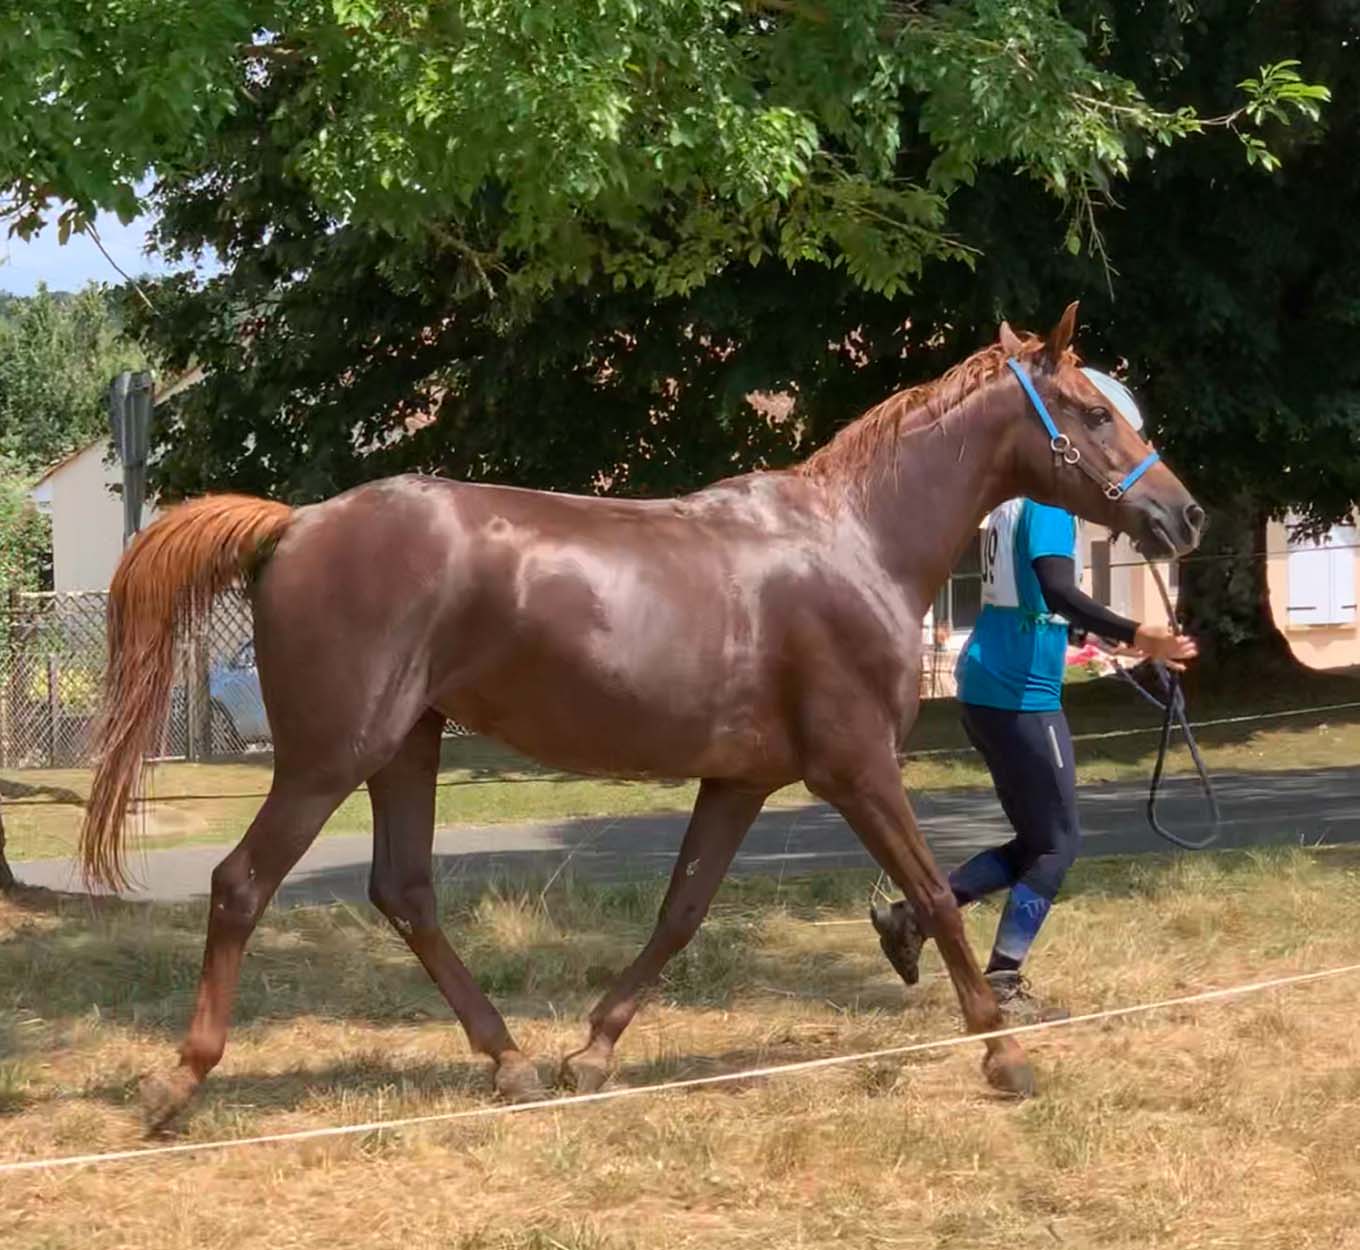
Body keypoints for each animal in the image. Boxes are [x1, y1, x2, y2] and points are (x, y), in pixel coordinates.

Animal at [81, 303, 1204, 1129]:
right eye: (1090, 411)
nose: (1182, 515)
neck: (854, 542)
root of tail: (295, 523)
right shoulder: (855, 768)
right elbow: (931, 894)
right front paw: (1003, 1054)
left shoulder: (741, 780)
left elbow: (682, 910)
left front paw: (592, 1050)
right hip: (328, 757)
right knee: (242, 885)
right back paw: (177, 1082)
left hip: (407, 745)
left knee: (404, 891)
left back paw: (511, 1061)